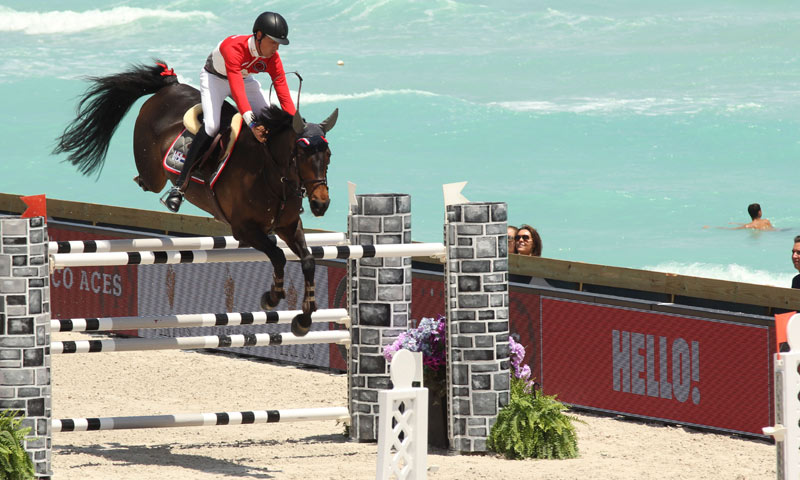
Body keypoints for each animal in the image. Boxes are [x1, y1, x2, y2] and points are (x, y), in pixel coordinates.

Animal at [51, 61, 336, 338]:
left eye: (328, 155)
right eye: (302, 154)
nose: (321, 204)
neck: (269, 171)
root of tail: (170, 86)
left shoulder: (288, 225)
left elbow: (308, 261)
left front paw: (304, 319)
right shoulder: (245, 229)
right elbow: (277, 255)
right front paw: (272, 298)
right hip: (154, 172)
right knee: (153, 178)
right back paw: (170, 193)